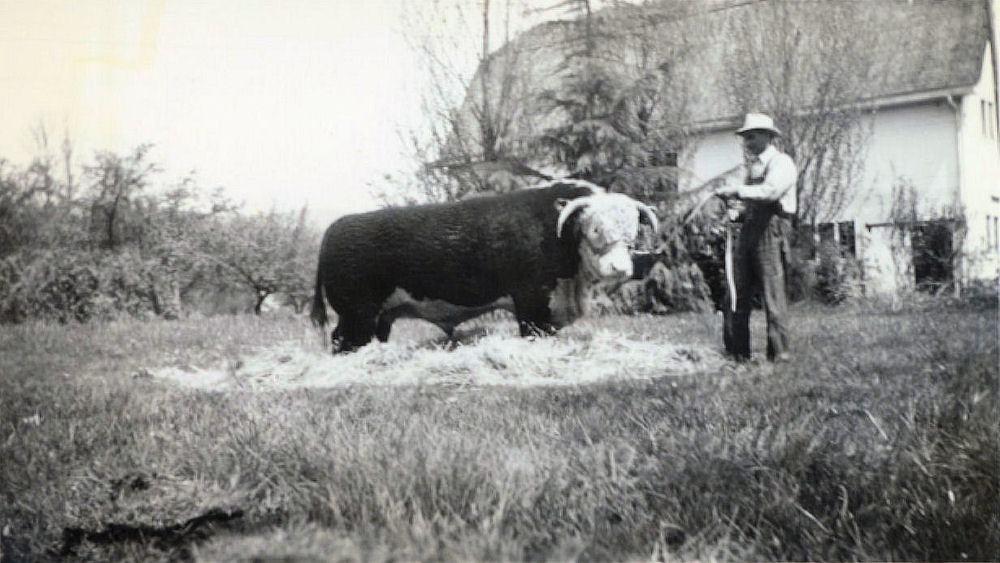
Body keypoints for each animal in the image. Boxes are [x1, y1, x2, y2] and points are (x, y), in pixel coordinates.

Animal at [312, 181, 656, 354]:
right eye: (594, 229)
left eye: (633, 231)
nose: (619, 267)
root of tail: (337, 226)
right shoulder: (531, 302)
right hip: (357, 312)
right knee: (343, 340)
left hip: (379, 315)